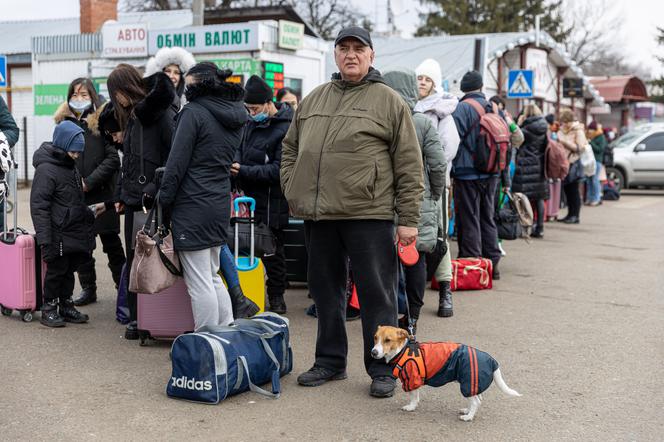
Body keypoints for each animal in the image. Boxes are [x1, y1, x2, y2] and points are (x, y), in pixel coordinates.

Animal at [370, 326, 520, 420]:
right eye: (375, 338)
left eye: (387, 340)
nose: (373, 352)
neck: (402, 350)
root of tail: (492, 360)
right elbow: (415, 396)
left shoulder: (412, 379)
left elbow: (413, 397)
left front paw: (411, 407)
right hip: (472, 384)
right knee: (476, 400)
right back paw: (467, 411)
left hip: (468, 383)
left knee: (476, 402)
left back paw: (468, 417)